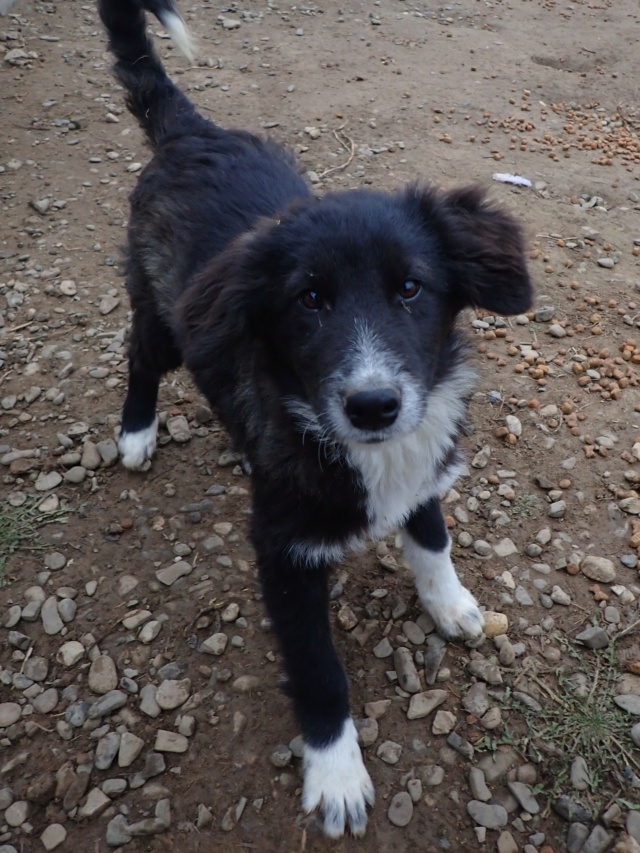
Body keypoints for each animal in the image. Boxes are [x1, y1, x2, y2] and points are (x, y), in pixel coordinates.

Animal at [97, 0, 532, 840]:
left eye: (410, 288)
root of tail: (191, 129)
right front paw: (336, 776)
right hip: (160, 314)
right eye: (309, 299)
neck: (364, 454)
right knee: (138, 357)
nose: (374, 404)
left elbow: (432, 539)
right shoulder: (283, 554)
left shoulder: (421, 460)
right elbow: (320, 671)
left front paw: (452, 605)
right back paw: (134, 433)